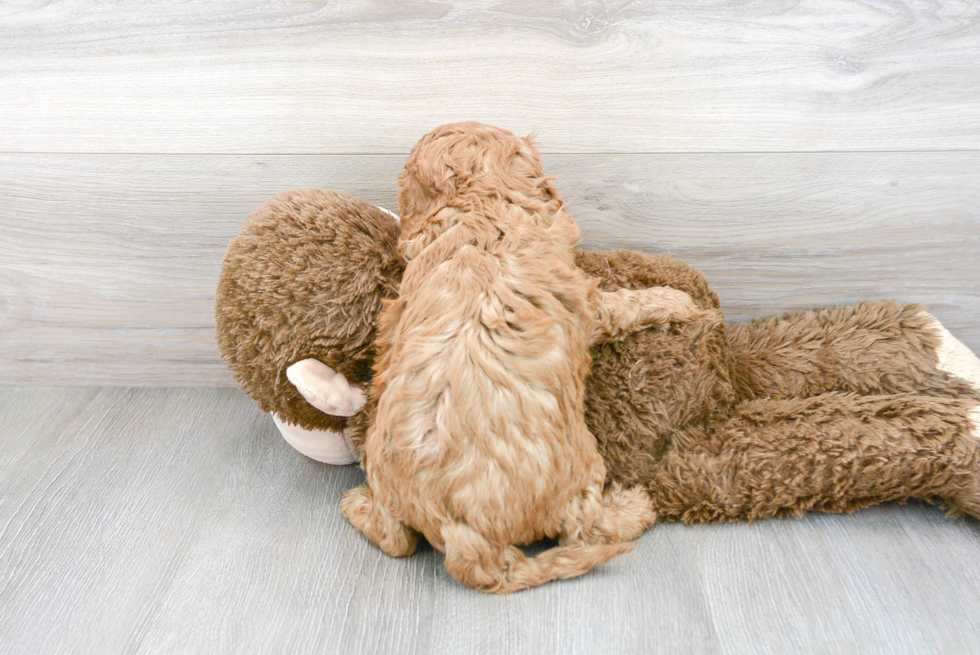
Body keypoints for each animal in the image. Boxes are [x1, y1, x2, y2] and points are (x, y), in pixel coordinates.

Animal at [340, 123, 700, 596]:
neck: (477, 216)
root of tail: (466, 540)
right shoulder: (589, 303)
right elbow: (627, 305)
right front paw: (678, 301)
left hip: (384, 475)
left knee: (395, 539)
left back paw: (356, 503)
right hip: (583, 469)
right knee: (588, 530)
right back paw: (635, 506)